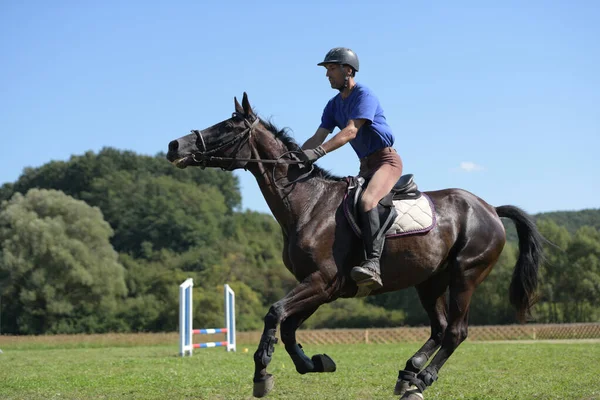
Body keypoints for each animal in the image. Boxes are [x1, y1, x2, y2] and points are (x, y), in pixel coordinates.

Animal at [165, 94, 544, 400]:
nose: (173, 146)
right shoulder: (321, 288)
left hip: (466, 274)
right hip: (429, 280)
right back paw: (409, 372)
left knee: (455, 331)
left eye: (227, 127)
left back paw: (421, 382)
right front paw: (316, 363)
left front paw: (262, 373)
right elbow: (287, 326)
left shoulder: (321, 281)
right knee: (438, 328)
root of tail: (490, 208)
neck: (307, 203)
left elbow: (275, 314)